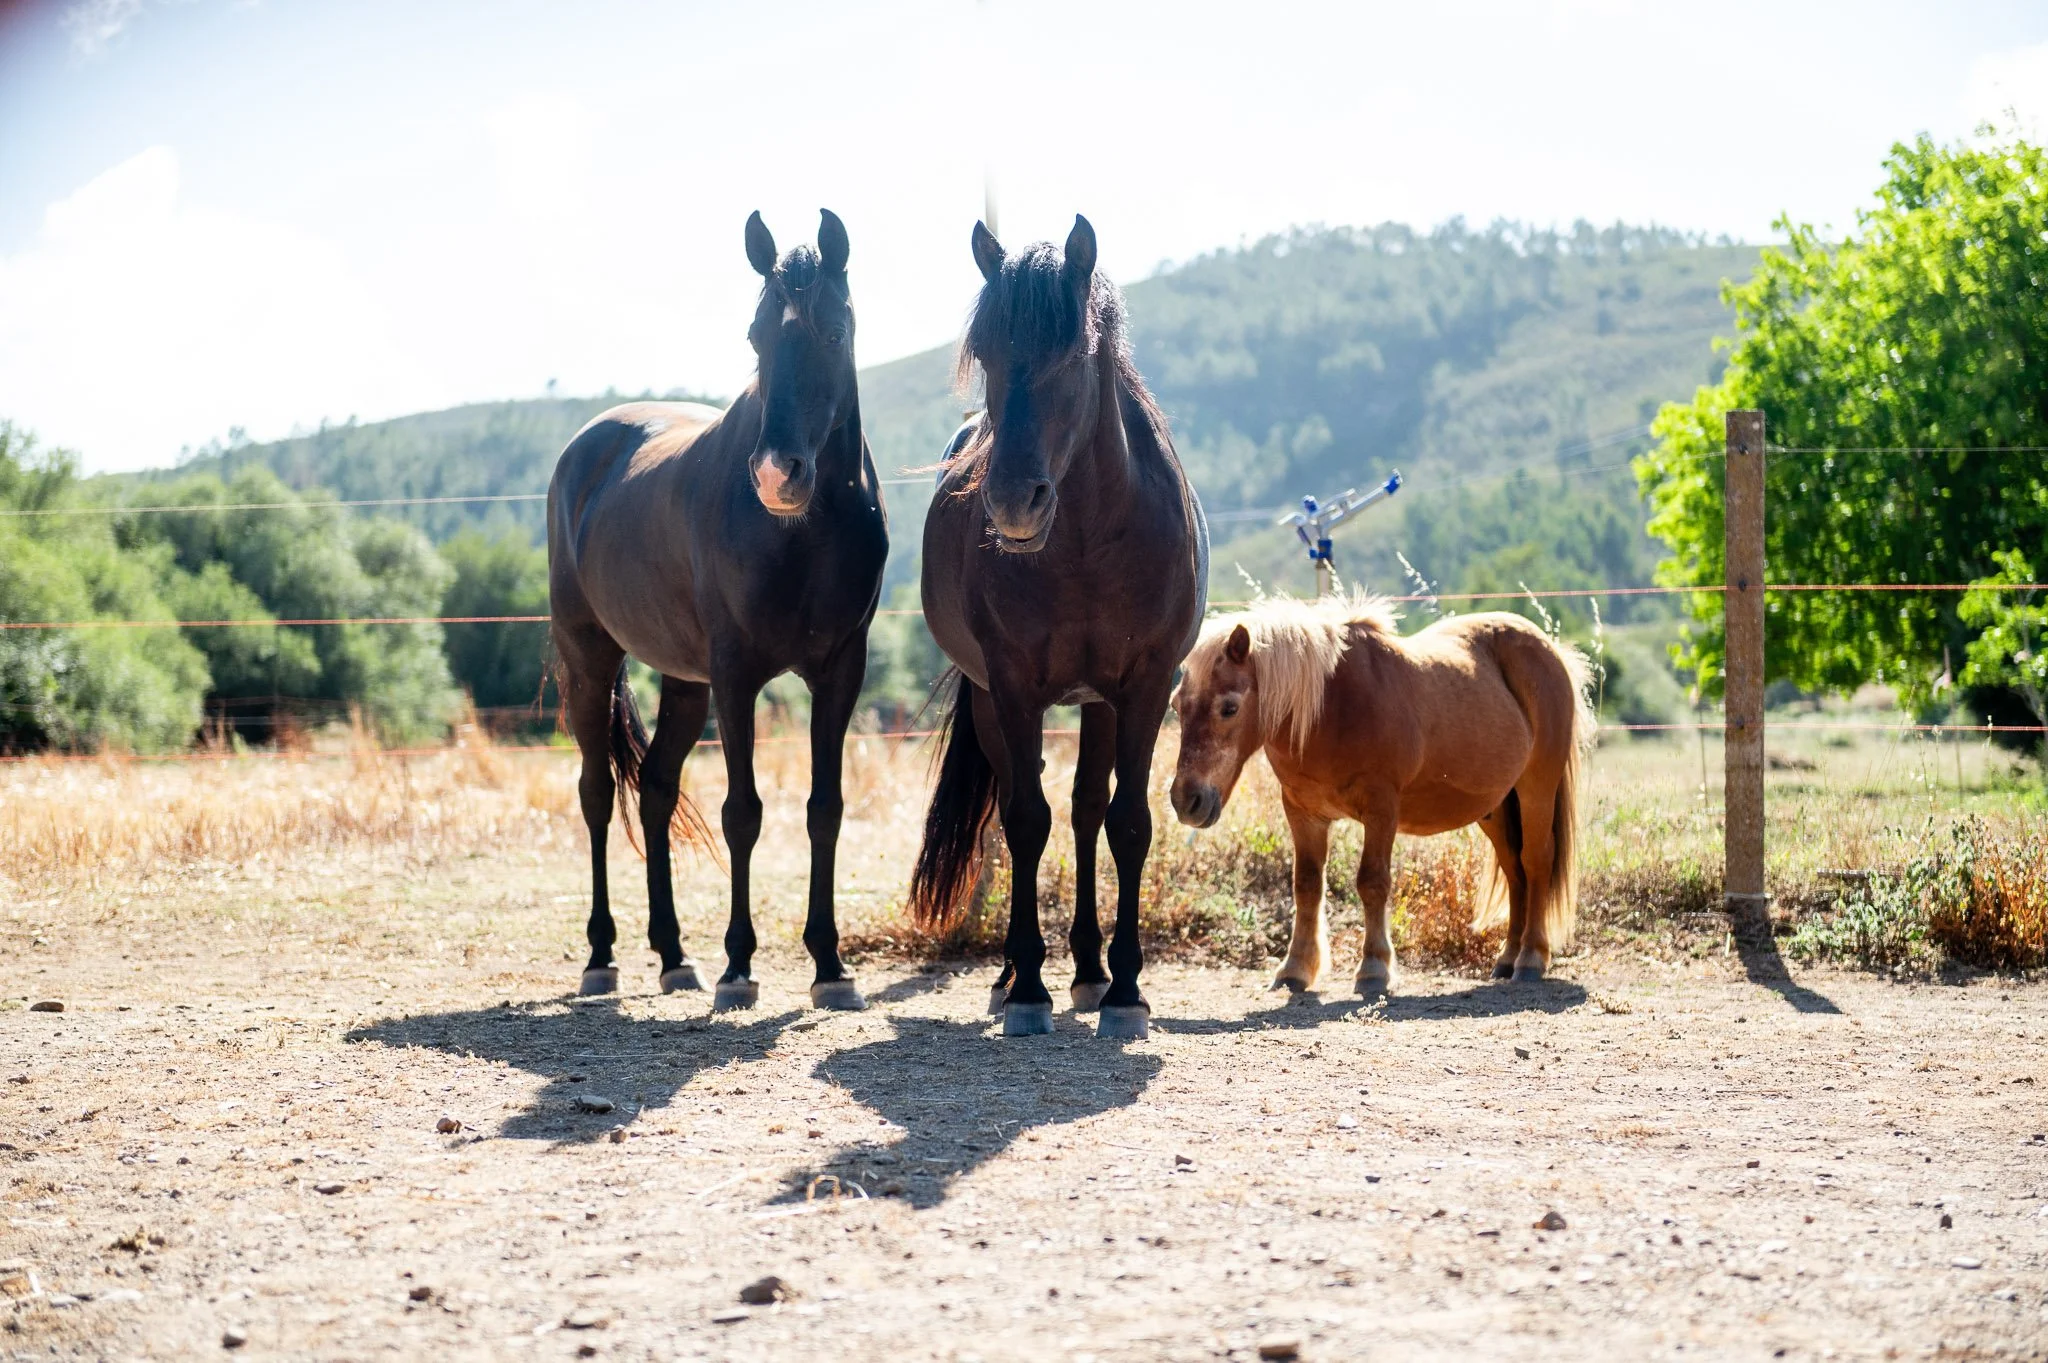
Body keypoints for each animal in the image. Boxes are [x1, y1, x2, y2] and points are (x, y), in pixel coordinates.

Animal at [546, 209, 888, 1009]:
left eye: (834, 330)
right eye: (757, 335)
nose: (775, 476)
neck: (805, 532)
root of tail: (586, 449)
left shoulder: (840, 671)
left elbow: (824, 810)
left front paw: (830, 966)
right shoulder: (736, 675)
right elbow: (744, 813)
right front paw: (739, 966)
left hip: (683, 681)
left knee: (655, 793)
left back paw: (674, 956)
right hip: (591, 658)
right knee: (597, 793)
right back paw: (602, 955)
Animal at [908, 215, 1209, 1040]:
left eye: (1071, 354)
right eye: (985, 354)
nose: (1014, 503)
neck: (1087, 543)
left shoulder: (1145, 687)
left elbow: (1127, 823)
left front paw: (1125, 989)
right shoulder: (1013, 687)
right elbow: (1024, 821)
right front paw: (1028, 990)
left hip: (1099, 703)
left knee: (1086, 811)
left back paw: (1090, 969)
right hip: (994, 702)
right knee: (1033, 806)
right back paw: (1016, 973)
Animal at [1168, 595, 1594, 991]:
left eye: (1229, 708)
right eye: (1176, 705)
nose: (1186, 801)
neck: (1331, 707)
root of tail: (1551, 650)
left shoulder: (1381, 809)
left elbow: (1372, 882)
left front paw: (1373, 968)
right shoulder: (1303, 812)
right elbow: (1306, 886)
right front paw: (1296, 969)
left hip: (1536, 790)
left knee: (1536, 862)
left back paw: (1531, 958)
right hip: (1496, 808)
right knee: (1514, 869)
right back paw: (1507, 959)